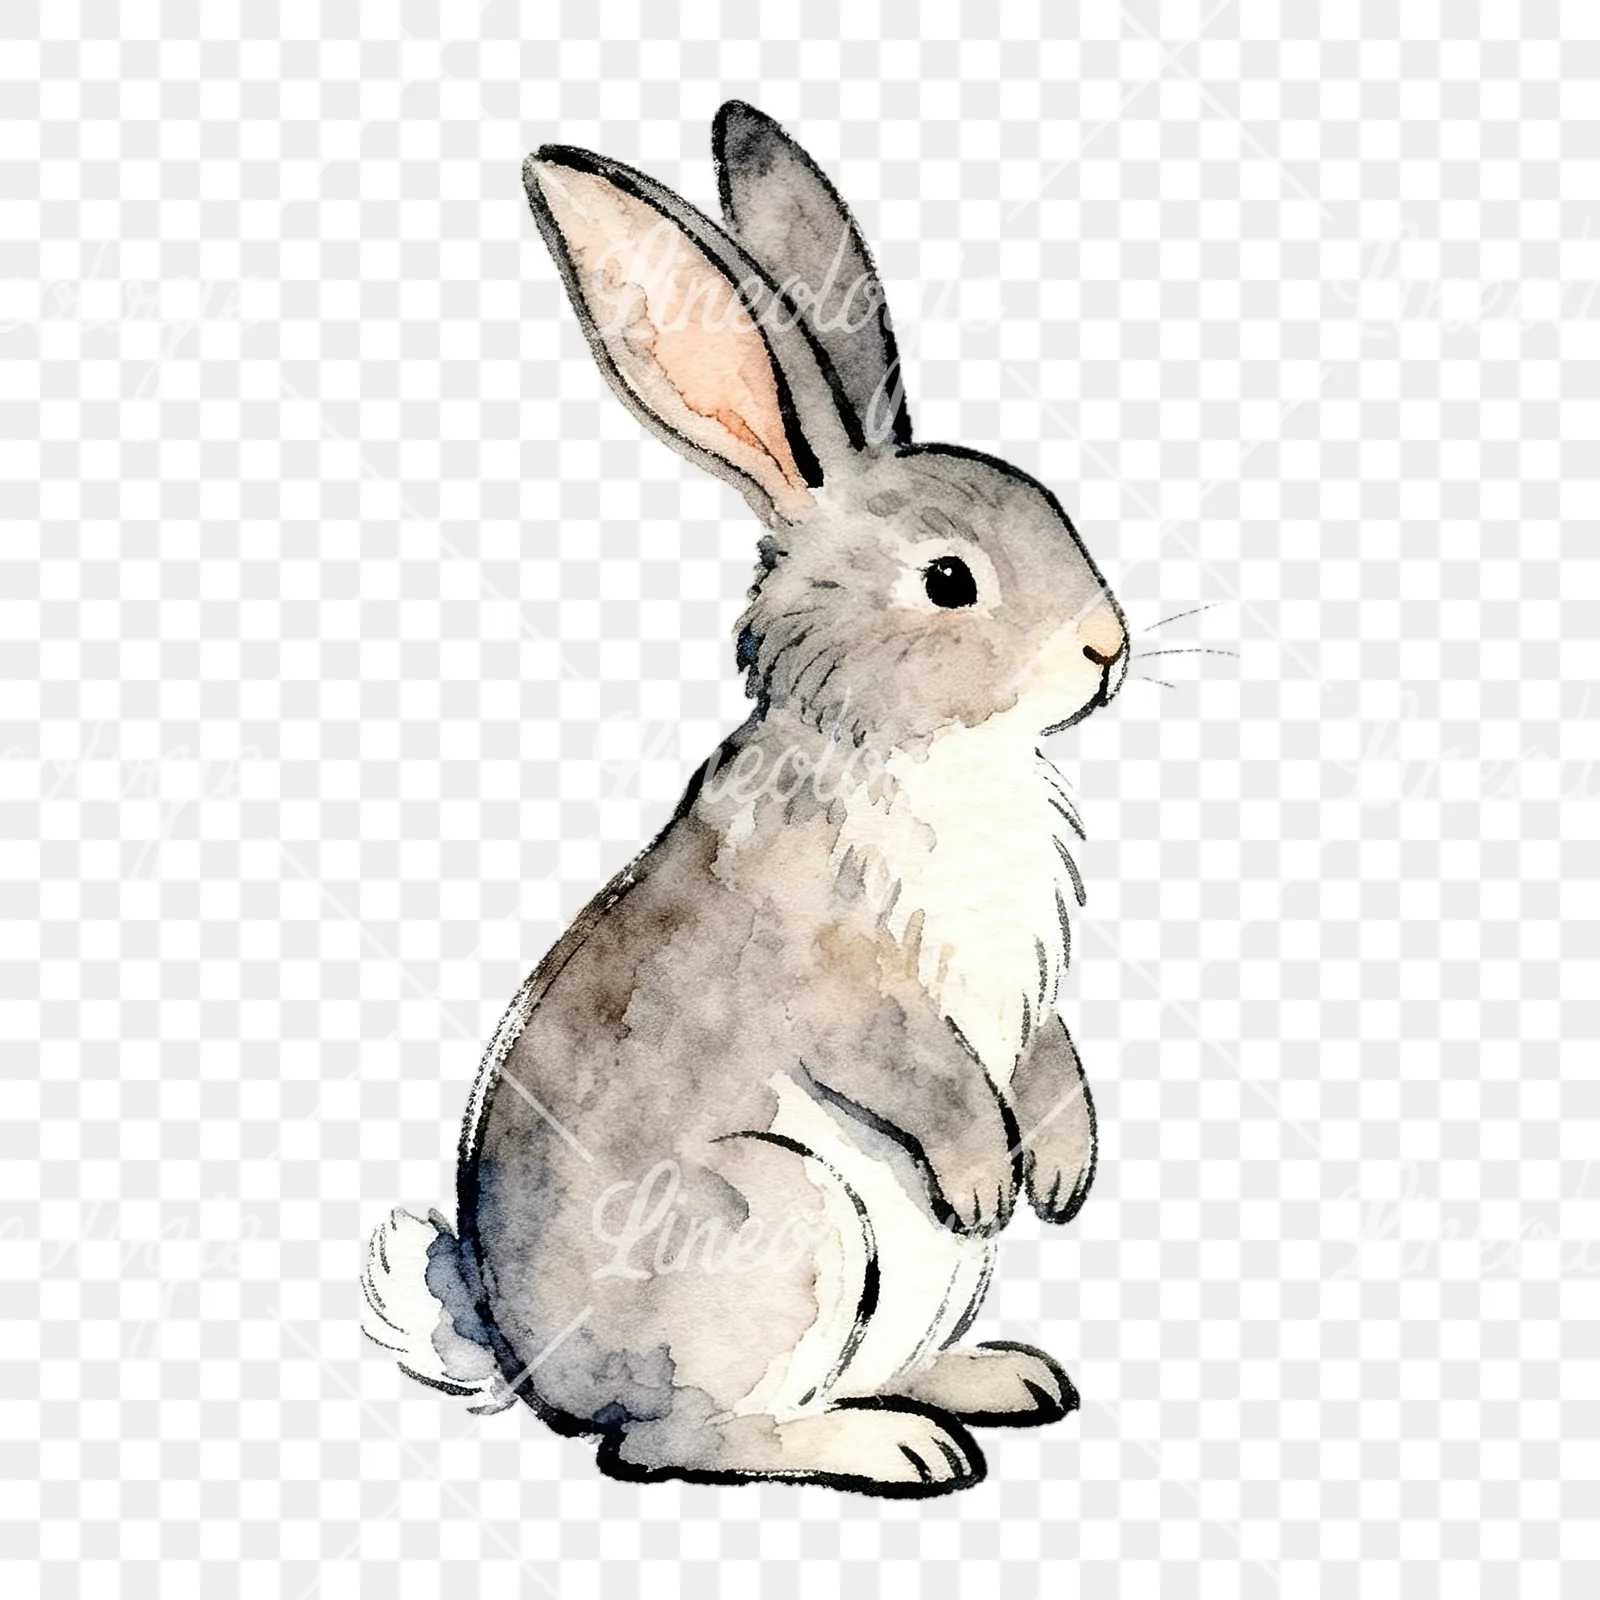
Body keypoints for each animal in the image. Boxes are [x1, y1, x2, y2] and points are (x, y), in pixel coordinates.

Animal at [361, 100, 1128, 1497]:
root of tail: (531, 1372)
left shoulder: (1033, 997)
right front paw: (991, 1179)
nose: (1109, 649)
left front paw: (1061, 1167)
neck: (922, 748)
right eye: (948, 580)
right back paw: (894, 1445)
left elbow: (1048, 1053)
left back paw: (995, 1379)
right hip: (782, 1222)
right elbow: (919, 1067)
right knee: (670, 1440)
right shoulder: (839, 976)